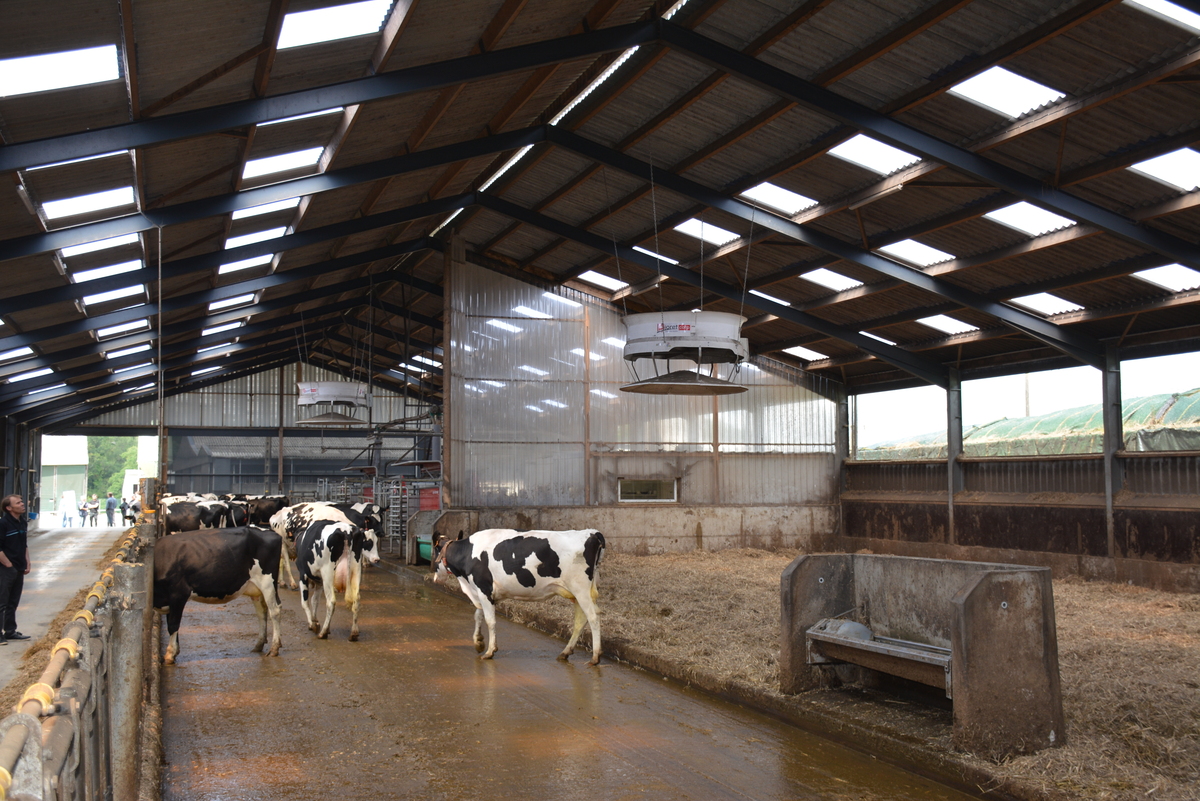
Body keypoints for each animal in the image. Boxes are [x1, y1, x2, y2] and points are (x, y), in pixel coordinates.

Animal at [152, 525, 283, 661]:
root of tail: (267, 530)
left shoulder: (178, 594)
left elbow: (173, 624)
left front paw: (170, 654)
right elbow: (171, 623)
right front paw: (175, 650)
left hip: (268, 582)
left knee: (274, 611)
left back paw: (274, 648)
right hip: (255, 587)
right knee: (261, 611)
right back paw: (259, 644)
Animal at [432, 527, 604, 666]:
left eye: (434, 552)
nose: (435, 576)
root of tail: (592, 533)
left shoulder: (483, 588)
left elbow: (490, 621)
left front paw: (490, 650)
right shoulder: (484, 592)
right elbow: (478, 615)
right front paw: (478, 641)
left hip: (580, 588)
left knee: (593, 618)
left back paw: (595, 657)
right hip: (577, 593)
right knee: (580, 620)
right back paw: (565, 653)